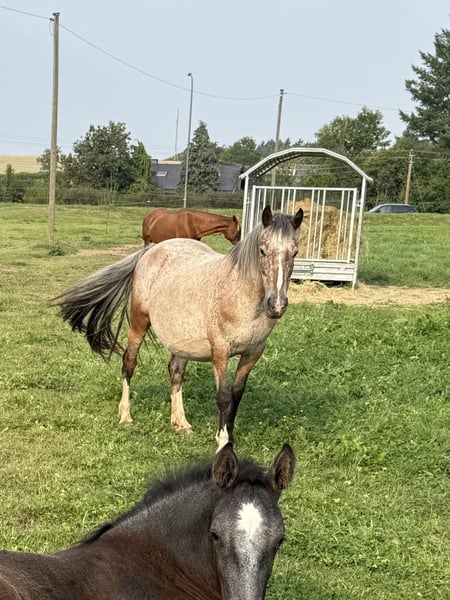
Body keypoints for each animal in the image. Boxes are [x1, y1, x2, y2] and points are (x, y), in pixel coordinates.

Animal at [53, 205, 303, 447]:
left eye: (295, 252)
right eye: (262, 251)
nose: (277, 304)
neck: (241, 297)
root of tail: (153, 249)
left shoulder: (253, 353)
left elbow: (237, 395)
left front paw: (229, 437)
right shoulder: (220, 352)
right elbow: (223, 397)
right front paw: (222, 442)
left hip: (181, 341)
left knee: (175, 372)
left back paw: (180, 422)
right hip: (139, 323)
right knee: (129, 364)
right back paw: (125, 415)